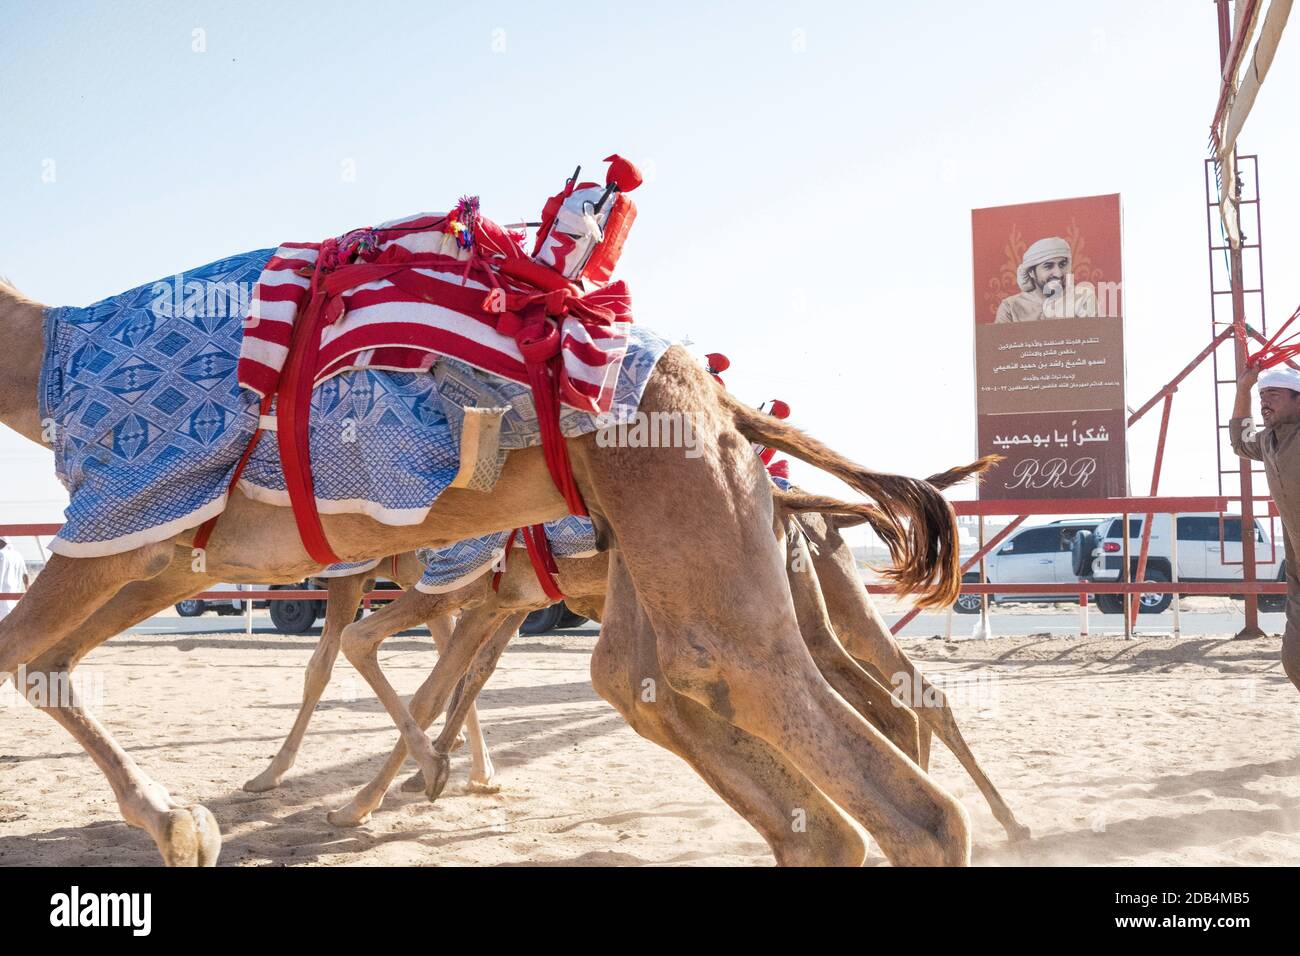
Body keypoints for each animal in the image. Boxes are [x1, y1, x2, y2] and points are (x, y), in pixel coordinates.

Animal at [0, 277, 977, 868]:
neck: (48, 350)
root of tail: (720, 398)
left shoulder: (136, 510)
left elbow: (361, 659)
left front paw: (323, 798)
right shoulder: (165, 546)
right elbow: (43, 659)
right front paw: (192, 820)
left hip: (695, 547)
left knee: (877, 772)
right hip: (698, 551)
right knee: (710, 704)